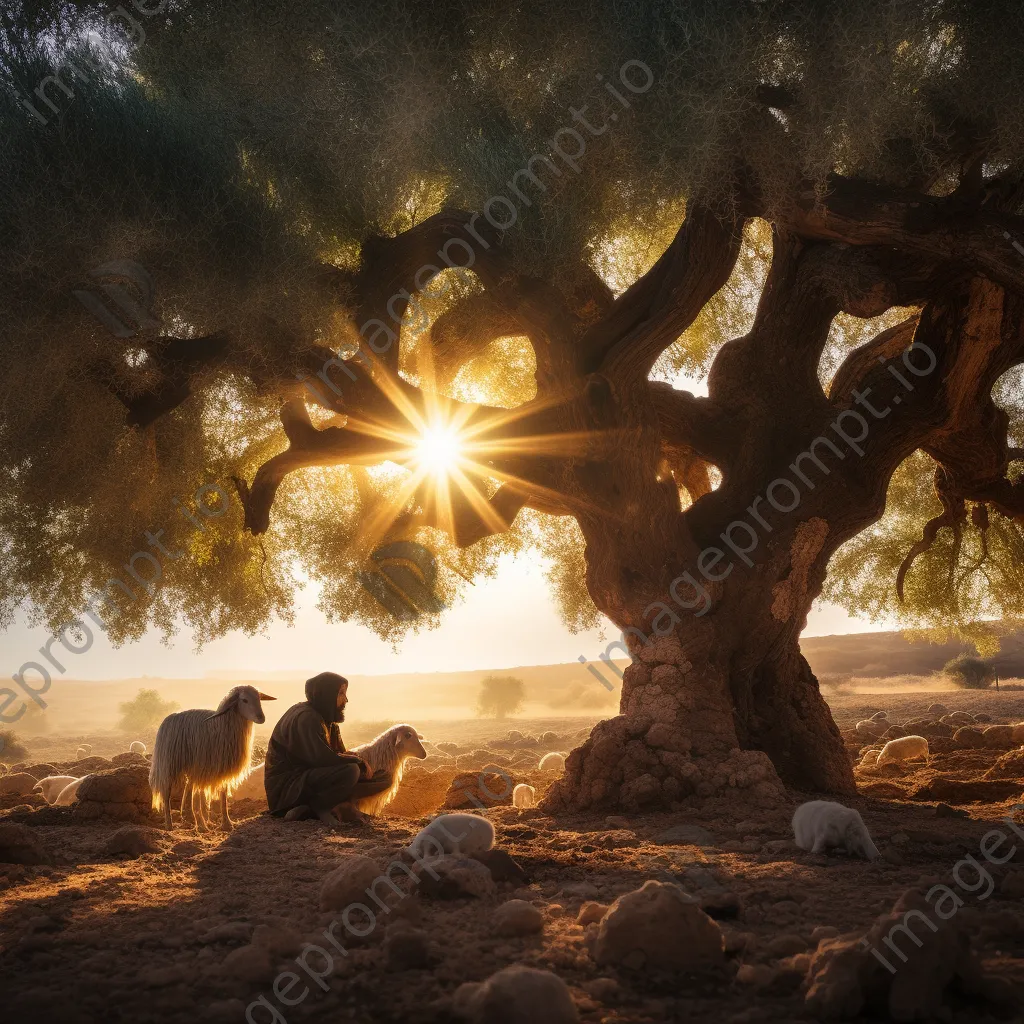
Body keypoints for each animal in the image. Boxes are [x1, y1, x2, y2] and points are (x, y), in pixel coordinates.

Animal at [148, 684, 274, 827]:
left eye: (259, 699)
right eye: (244, 700)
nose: (261, 718)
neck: (224, 724)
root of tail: (167, 719)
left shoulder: (222, 767)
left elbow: (222, 793)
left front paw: (226, 822)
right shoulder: (204, 767)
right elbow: (200, 794)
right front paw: (203, 824)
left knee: (188, 788)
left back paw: (188, 816)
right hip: (169, 763)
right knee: (167, 791)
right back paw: (170, 824)